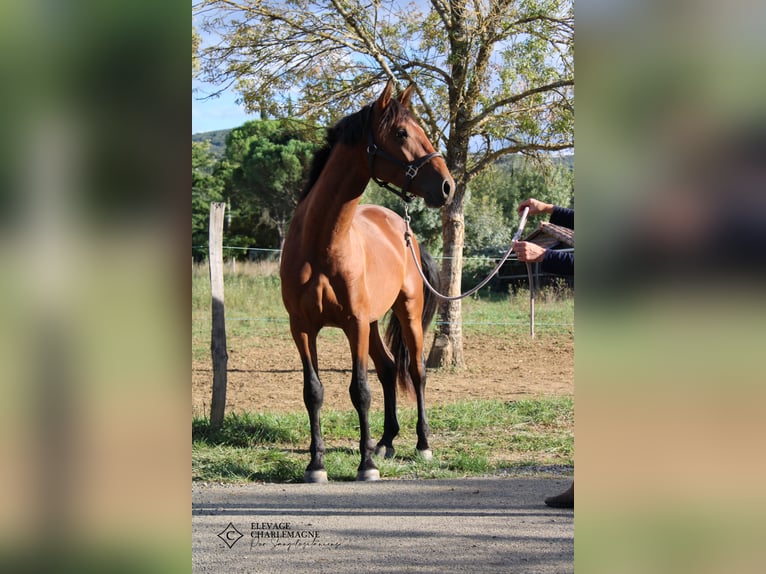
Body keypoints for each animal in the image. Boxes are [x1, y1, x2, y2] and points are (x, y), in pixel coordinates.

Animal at [280, 81, 452, 484]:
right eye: (402, 132)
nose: (447, 186)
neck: (321, 243)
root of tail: (404, 229)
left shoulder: (354, 324)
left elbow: (360, 390)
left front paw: (366, 465)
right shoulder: (302, 328)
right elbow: (314, 391)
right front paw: (316, 465)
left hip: (407, 313)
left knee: (416, 371)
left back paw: (421, 444)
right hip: (373, 322)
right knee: (389, 368)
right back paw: (386, 441)